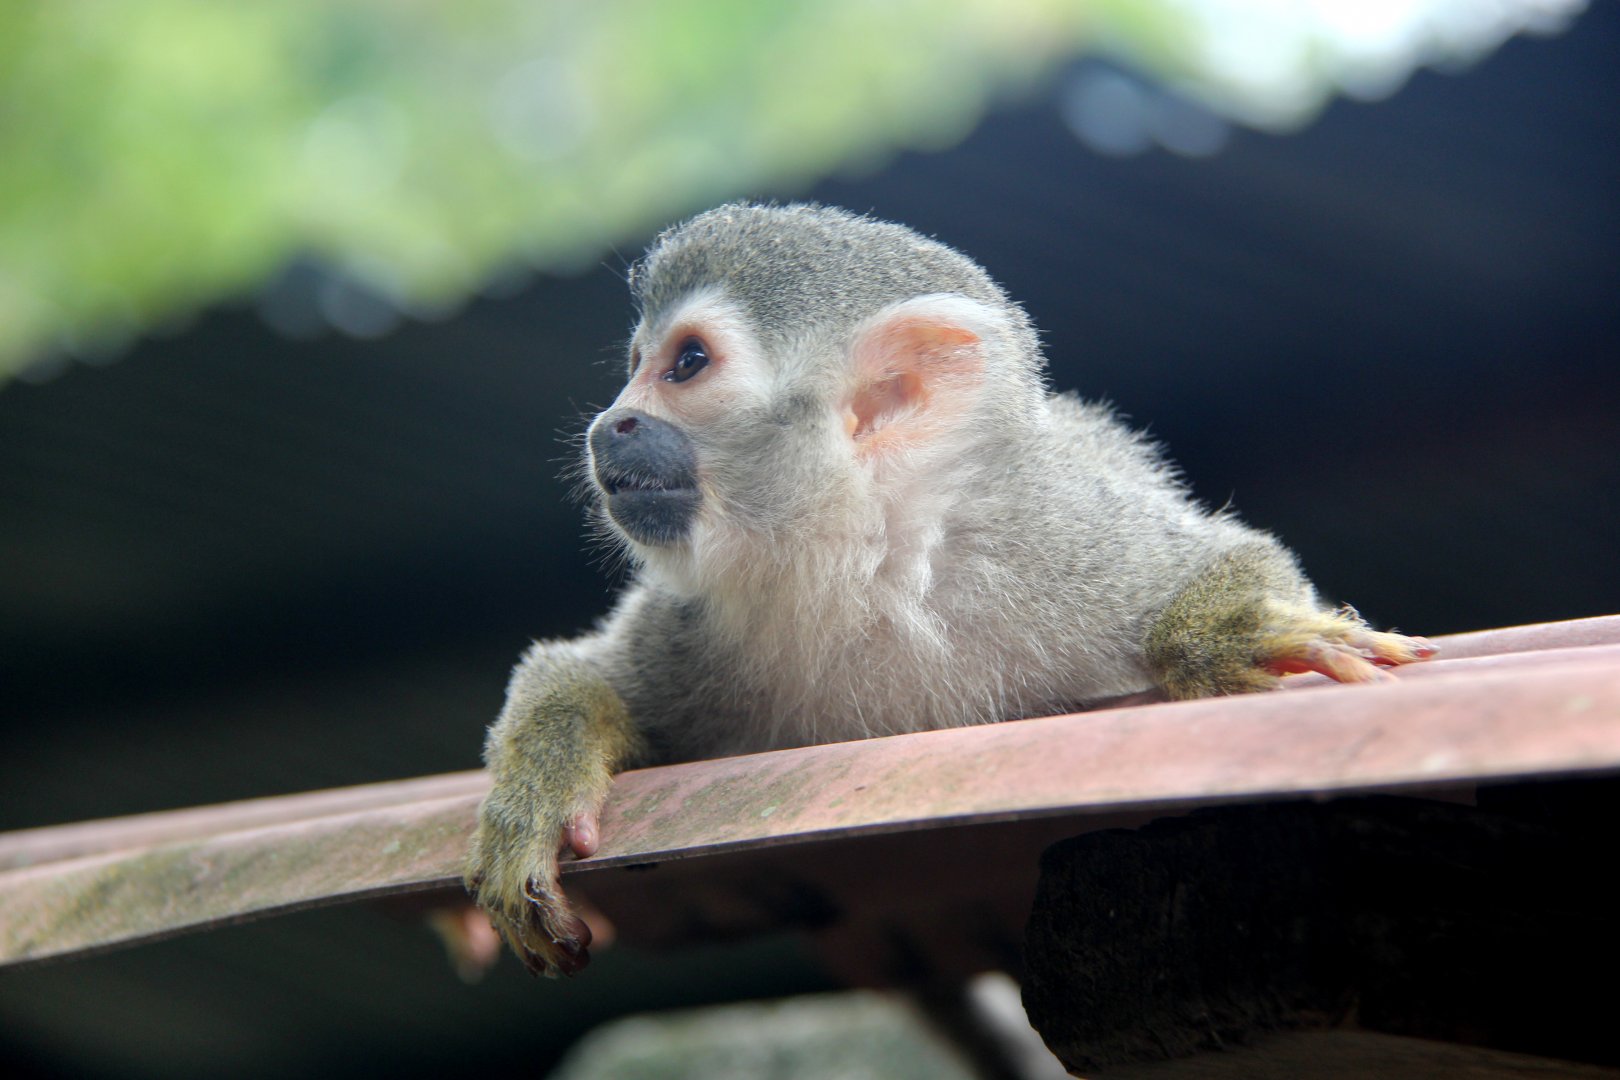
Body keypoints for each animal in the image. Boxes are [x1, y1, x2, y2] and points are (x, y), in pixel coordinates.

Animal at [464, 202, 1434, 976]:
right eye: (636, 362)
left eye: (687, 363)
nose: (611, 424)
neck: (869, 562)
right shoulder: (701, 616)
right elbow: (575, 671)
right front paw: (539, 798)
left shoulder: (1045, 536)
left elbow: (1232, 560)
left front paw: (1227, 636)